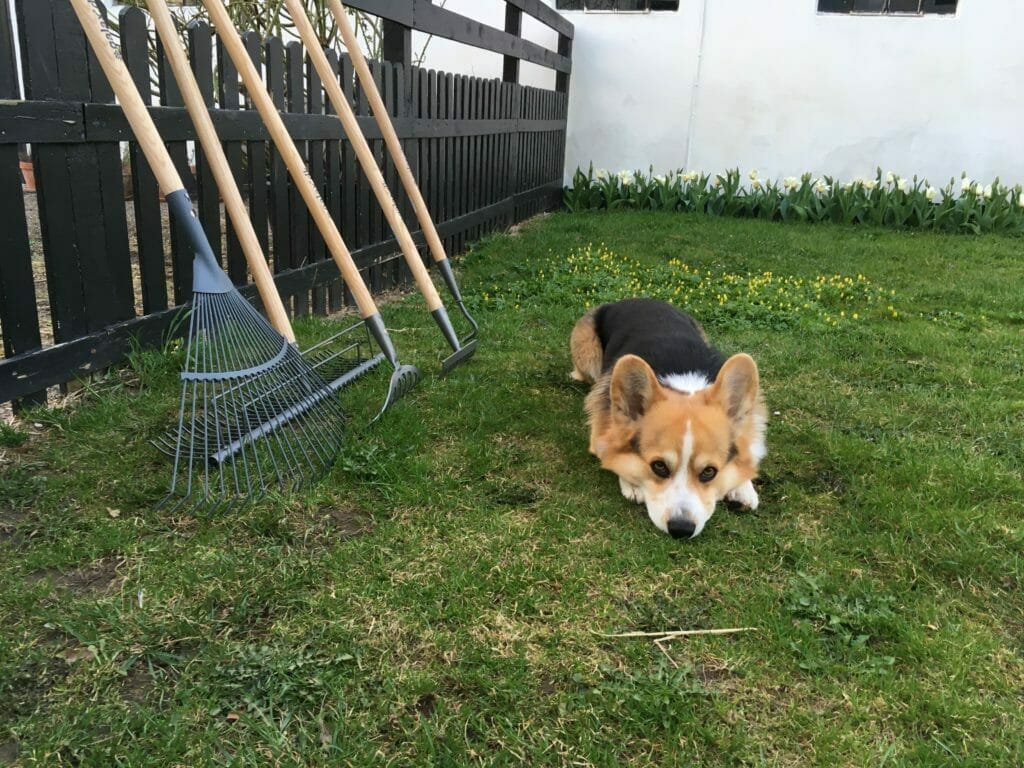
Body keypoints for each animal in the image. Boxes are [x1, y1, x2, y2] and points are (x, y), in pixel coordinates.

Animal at [573, 296, 765, 536]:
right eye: (659, 466)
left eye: (709, 472)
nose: (681, 529)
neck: (685, 386)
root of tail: (637, 299)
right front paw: (633, 484)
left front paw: (742, 487)